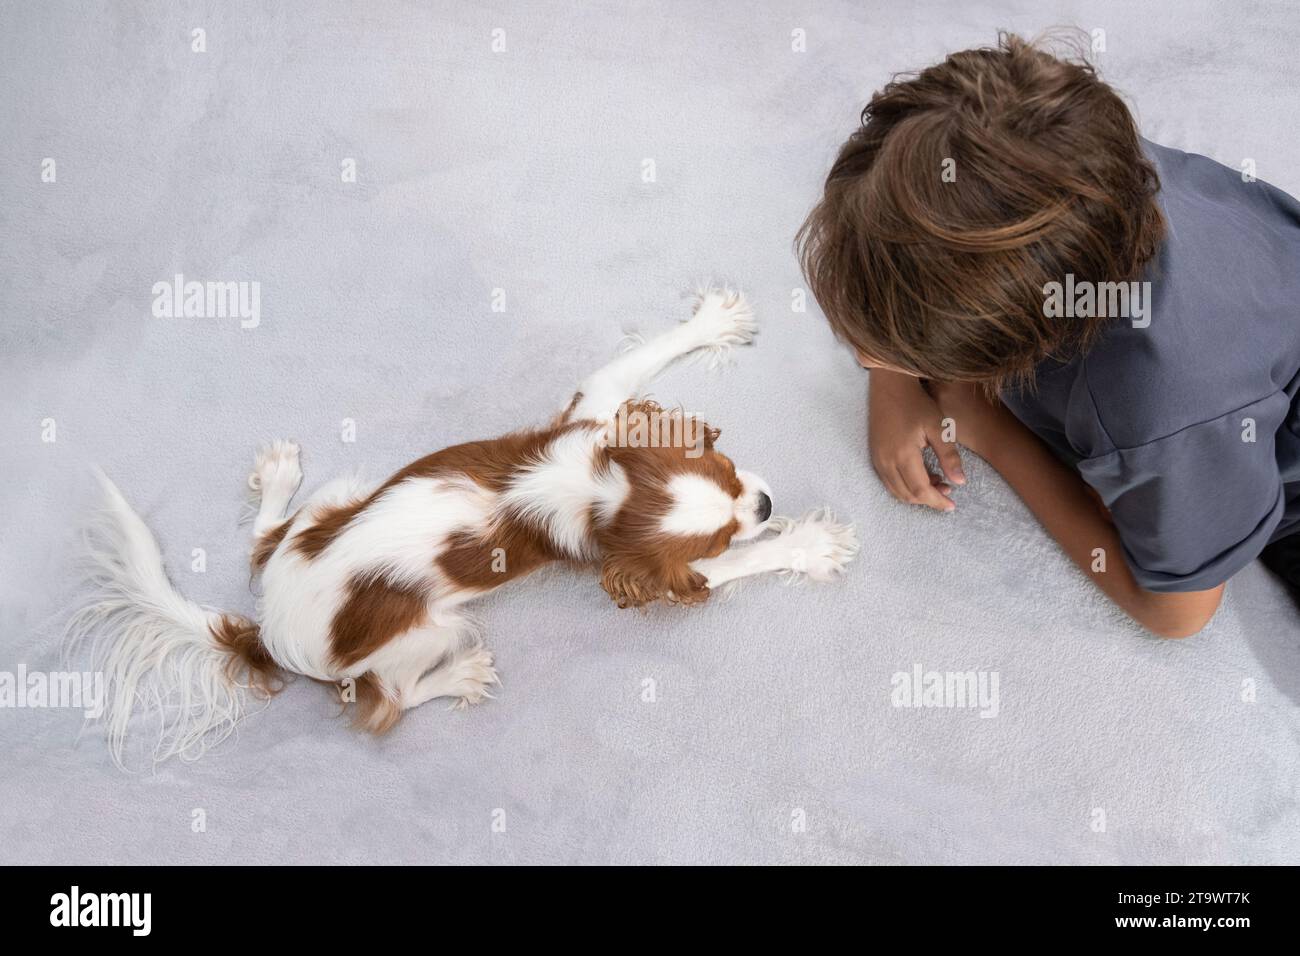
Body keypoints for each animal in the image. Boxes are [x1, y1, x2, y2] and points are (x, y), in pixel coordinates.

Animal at [76, 287, 857, 764]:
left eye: (726, 465)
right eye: (723, 531)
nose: (764, 503)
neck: (595, 488)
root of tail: (267, 632)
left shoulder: (599, 407)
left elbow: (642, 355)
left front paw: (711, 323)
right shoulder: (655, 567)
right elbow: (735, 569)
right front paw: (808, 544)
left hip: (342, 497)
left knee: (263, 541)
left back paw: (277, 479)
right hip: (427, 630)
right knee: (390, 705)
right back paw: (460, 677)